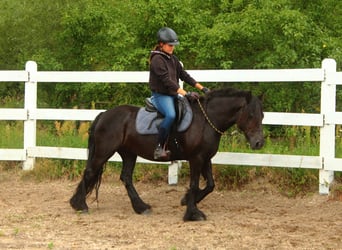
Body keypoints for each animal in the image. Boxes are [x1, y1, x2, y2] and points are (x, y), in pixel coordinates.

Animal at [69, 87, 264, 221]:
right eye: (250, 114)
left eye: (262, 115)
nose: (258, 143)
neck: (206, 121)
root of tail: (103, 115)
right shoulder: (196, 158)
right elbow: (195, 184)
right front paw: (192, 213)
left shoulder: (206, 158)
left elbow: (210, 185)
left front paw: (186, 200)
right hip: (104, 151)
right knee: (90, 172)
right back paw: (80, 205)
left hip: (129, 154)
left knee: (126, 178)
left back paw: (141, 207)